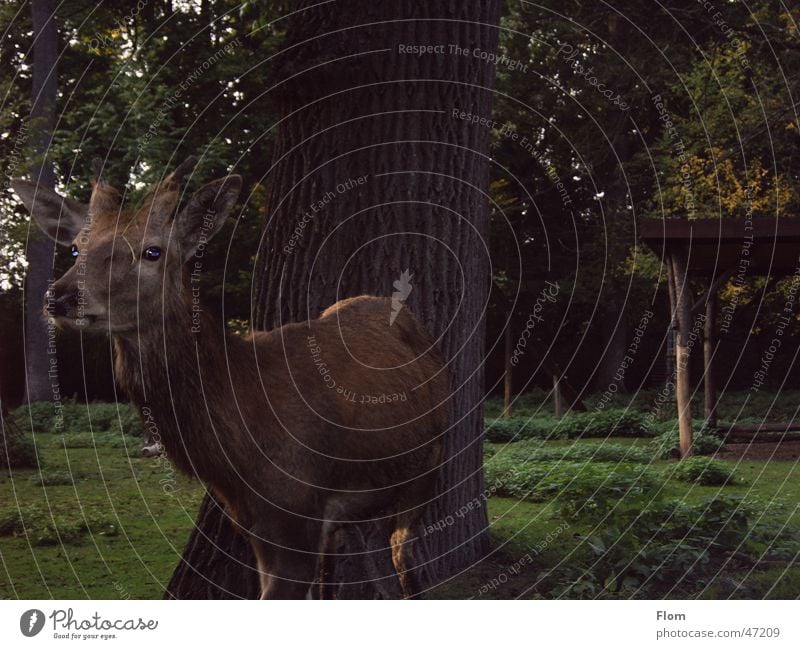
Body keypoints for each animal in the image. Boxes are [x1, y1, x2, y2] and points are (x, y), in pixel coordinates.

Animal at [12, 157, 446, 596]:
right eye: (75, 247)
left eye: (153, 251)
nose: (60, 297)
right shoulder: (256, 522)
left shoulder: (295, 510)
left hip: (428, 467)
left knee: (404, 558)